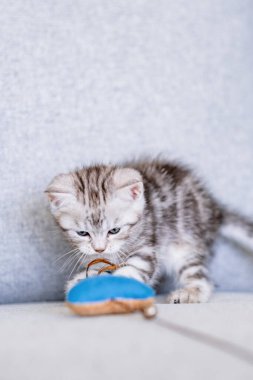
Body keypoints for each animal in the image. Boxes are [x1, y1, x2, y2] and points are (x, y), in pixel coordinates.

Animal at [45, 159, 253, 304]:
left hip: (187, 244)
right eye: (82, 233)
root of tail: (215, 209)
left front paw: (118, 286)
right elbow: (97, 268)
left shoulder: (147, 247)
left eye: (114, 230)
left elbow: (134, 268)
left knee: (200, 276)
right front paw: (81, 282)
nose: (99, 248)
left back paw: (190, 293)